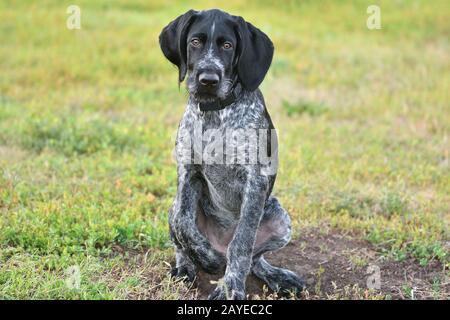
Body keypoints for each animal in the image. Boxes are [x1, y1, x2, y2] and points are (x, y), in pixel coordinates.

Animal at [159, 7, 306, 298]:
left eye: (228, 46)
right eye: (195, 42)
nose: (208, 80)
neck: (215, 113)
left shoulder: (255, 181)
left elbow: (242, 243)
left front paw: (231, 288)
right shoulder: (187, 172)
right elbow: (184, 225)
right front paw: (205, 257)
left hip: (279, 217)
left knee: (254, 258)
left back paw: (275, 276)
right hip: (174, 203)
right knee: (180, 236)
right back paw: (187, 265)